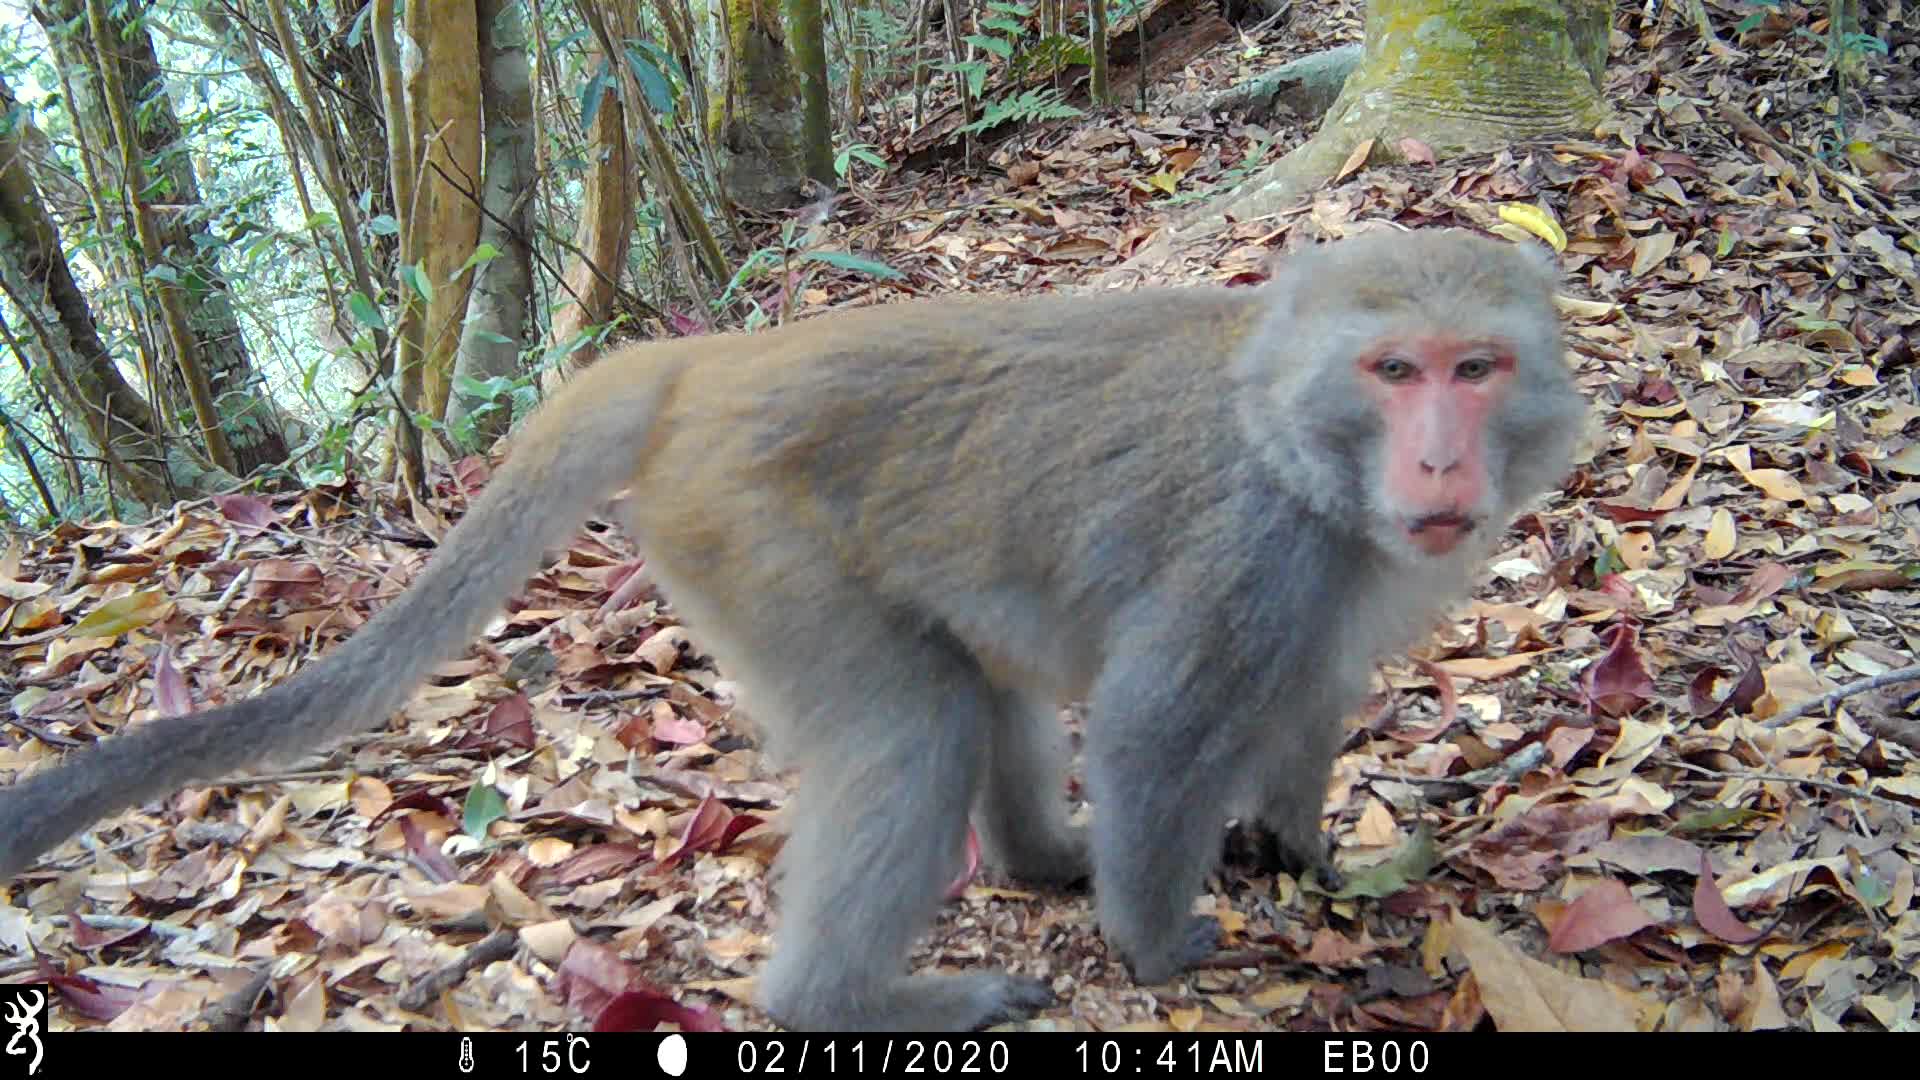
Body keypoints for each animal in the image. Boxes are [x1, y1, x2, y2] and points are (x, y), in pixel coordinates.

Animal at [0, 226, 1589, 1022]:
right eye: (1394, 371)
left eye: (1475, 368)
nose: (1441, 468)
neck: (1297, 436)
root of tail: (711, 359)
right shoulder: (1255, 550)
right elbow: (1152, 734)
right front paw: (1159, 946)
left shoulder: (1333, 576)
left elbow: (1305, 704)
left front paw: (1307, 855)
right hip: (746, 533)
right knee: (914, 728)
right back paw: (850, 1000)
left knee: (967, 683)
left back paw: (1038, 860)